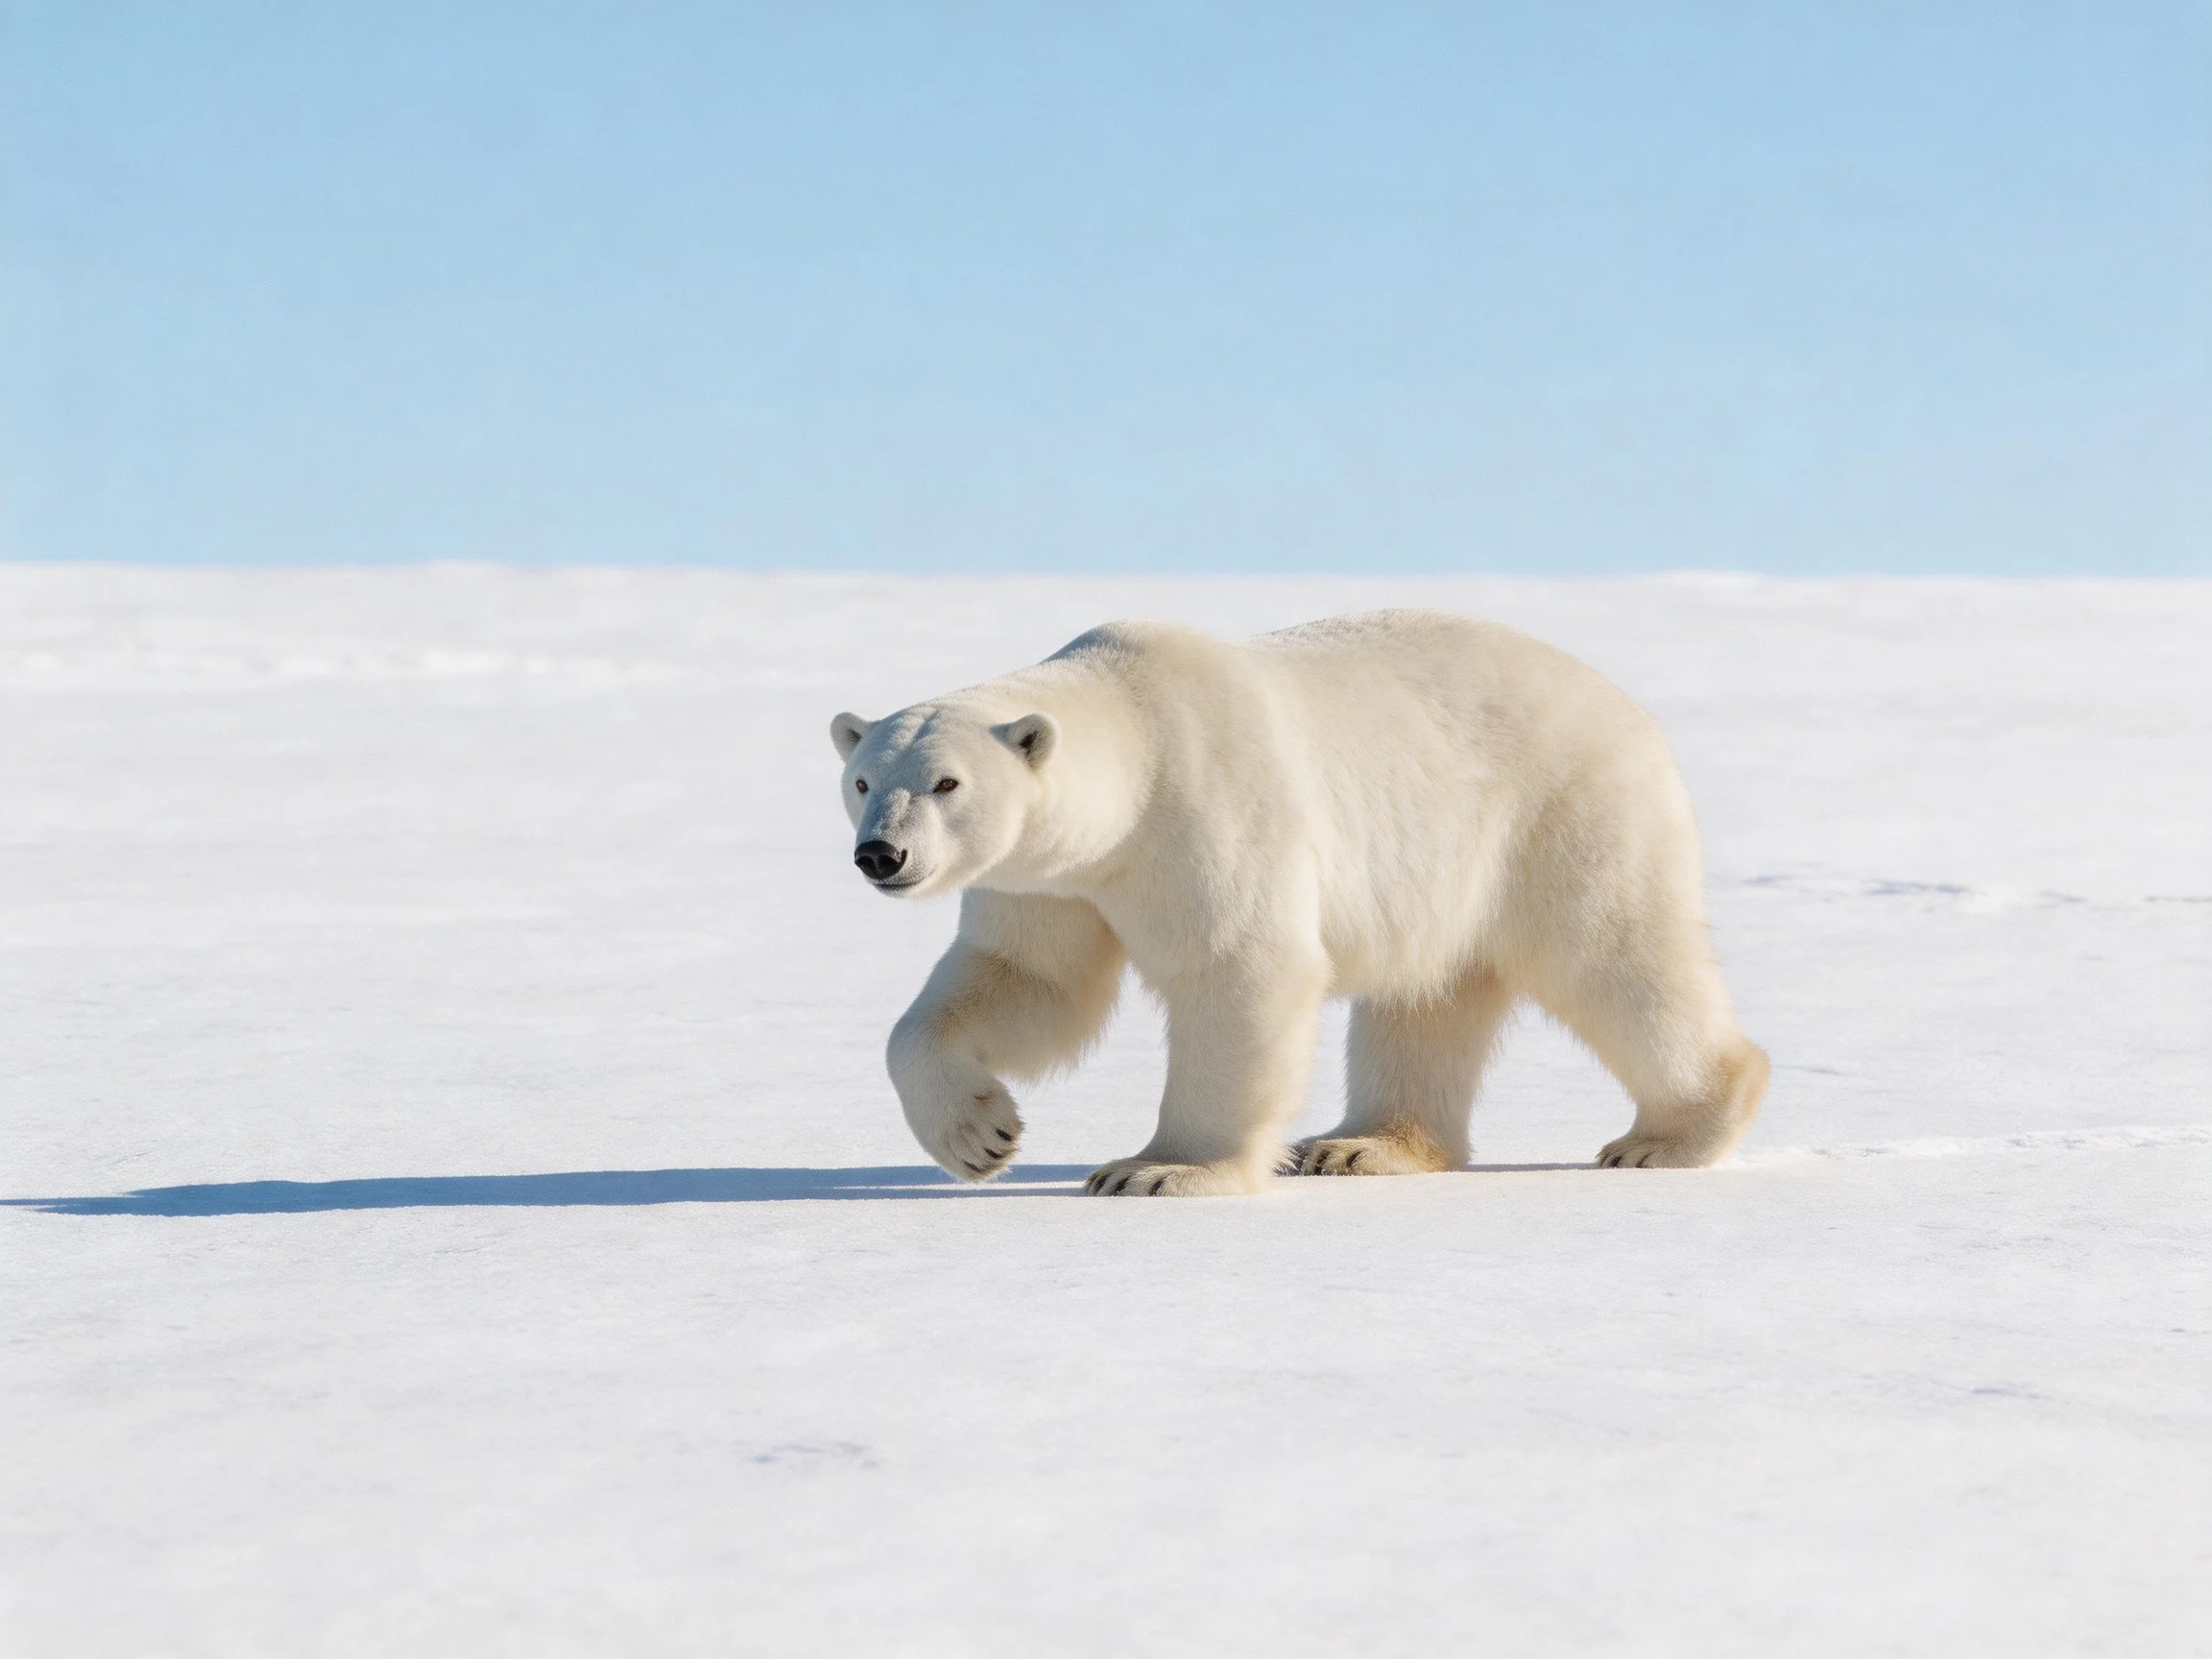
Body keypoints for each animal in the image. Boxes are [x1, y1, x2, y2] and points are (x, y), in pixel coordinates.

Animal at [830, 609, 1767, 1196]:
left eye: (947, 782)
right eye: (864, 779)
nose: (882, 855)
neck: (1136, 731)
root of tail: (1628, 706)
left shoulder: (1204, 807)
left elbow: (1237, 969)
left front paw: (1158, 1169)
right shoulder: (1055, 881)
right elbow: (1030, 982)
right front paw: (978, 1138)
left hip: (1564, 816)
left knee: (1614, 957)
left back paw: (1668, 1135)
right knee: (1424, 1000)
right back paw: (1358, 1145)